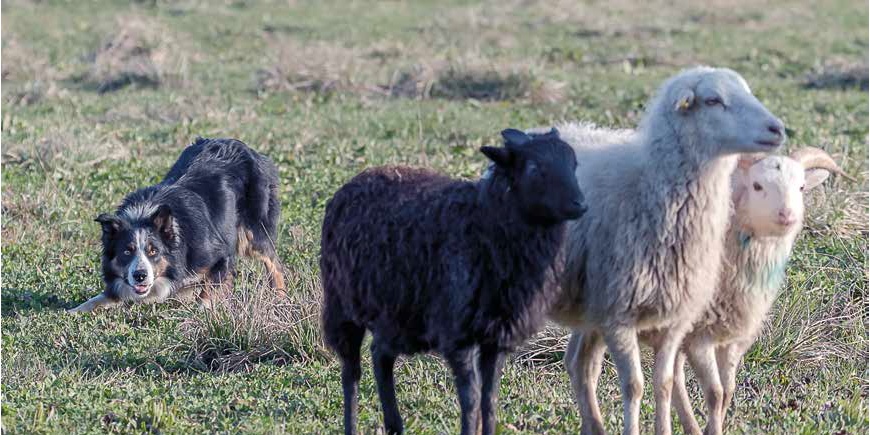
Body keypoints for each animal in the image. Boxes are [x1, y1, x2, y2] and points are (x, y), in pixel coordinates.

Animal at [70, 138, 286, 312]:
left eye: (153, 251)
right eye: (126, 251)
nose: (140, 276)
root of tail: (249, 149)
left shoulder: (221, 255)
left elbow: (207, 292)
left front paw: (201, 313)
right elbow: (98, 298)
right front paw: (73, 311)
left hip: (253, 232)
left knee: (274, 263)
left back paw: (280, 298)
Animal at [318, 129, 584, 435]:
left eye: (573, 163)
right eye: (534, 168)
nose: (580, 204)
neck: (484, 224)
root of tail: (353, 182)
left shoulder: (496, 336)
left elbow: (490, 399)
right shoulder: (458, 332)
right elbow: (470, 398)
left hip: (397, 316)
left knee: (380, 356)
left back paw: (395, 424)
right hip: (342, 306)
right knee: (351, 372)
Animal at [552, 66, 792, 435]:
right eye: (713, 100)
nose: (777, 129)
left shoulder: (673, 319)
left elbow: (663, 384)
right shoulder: (618, 315)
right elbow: (633, 386)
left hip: (589, 309)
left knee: (580, 364)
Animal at [656, 147, 856, 435]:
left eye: (801, 186)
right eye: (757, 185)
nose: (787, 214)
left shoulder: (733, 336)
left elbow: (727, 390)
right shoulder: (699, 337)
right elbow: (715, 393)